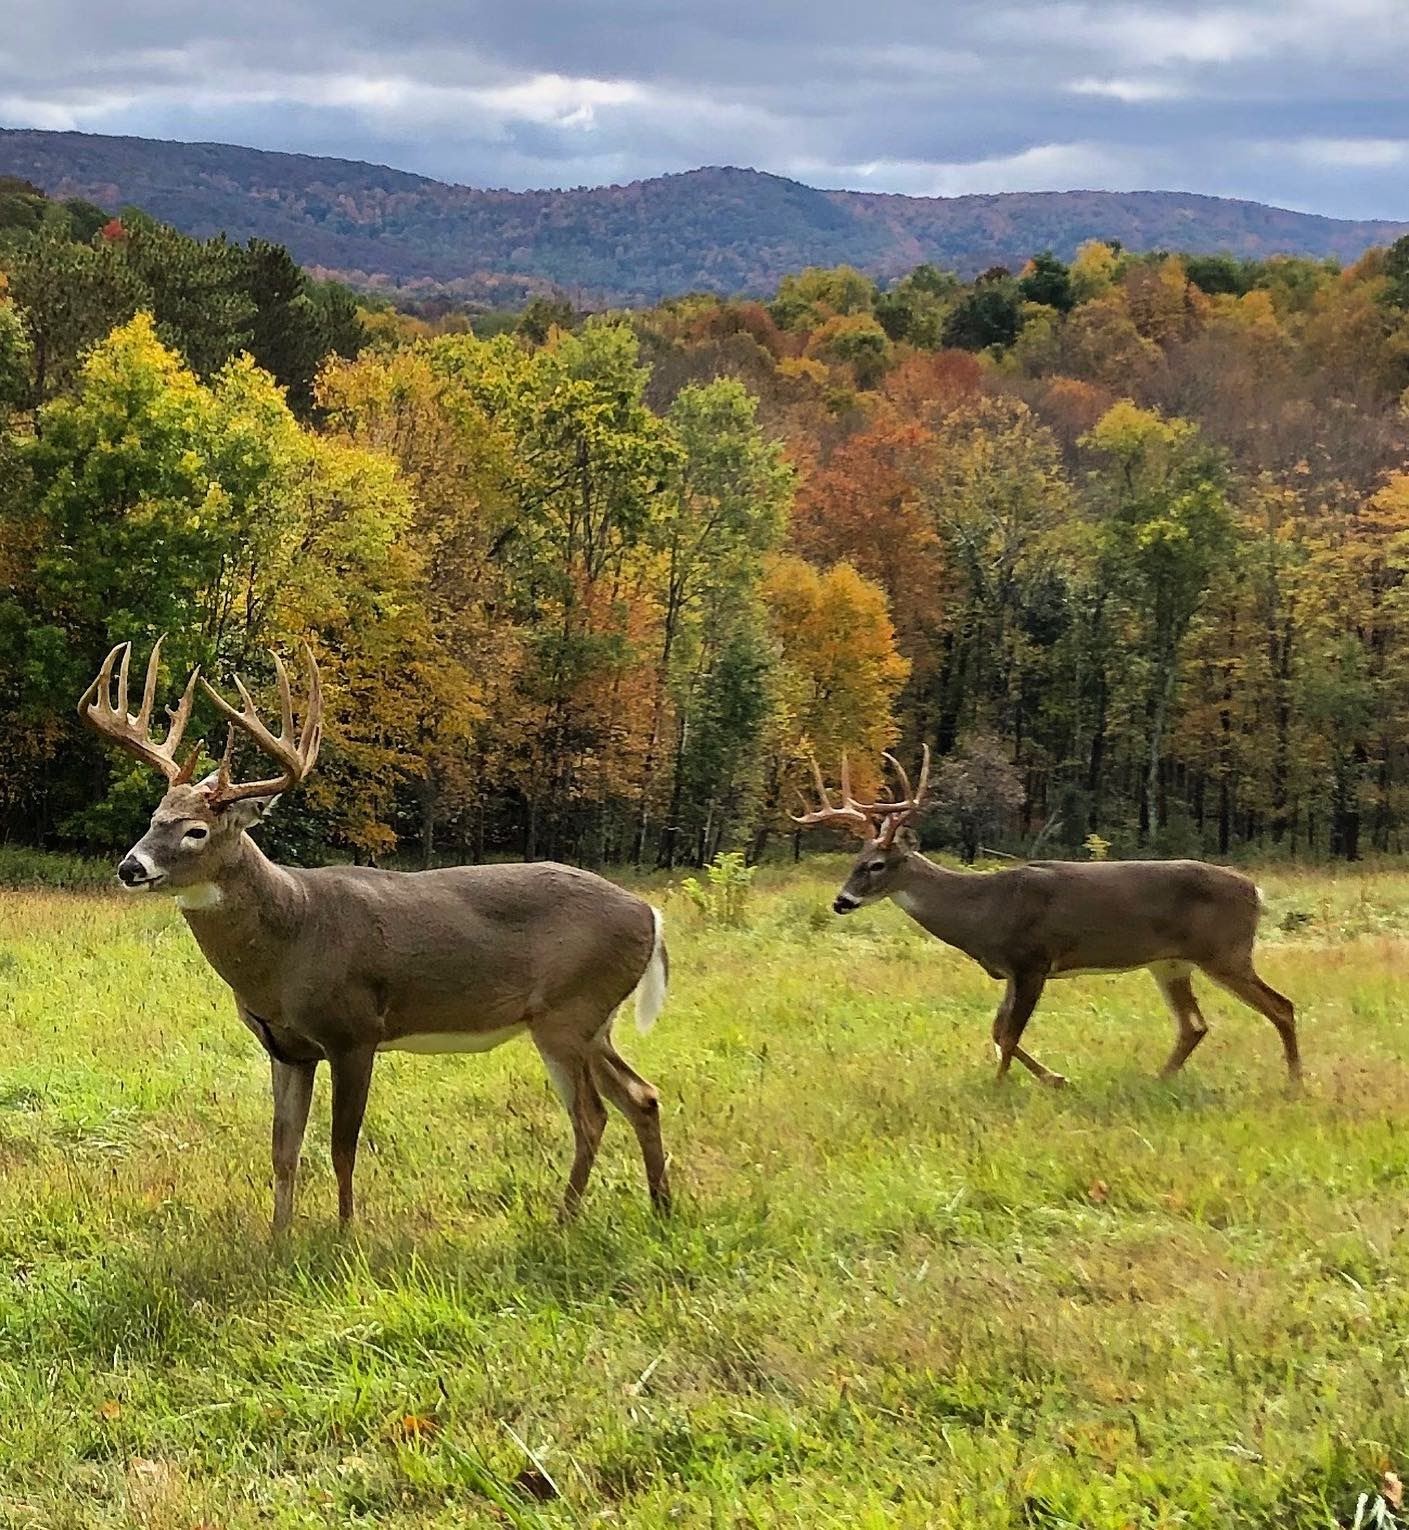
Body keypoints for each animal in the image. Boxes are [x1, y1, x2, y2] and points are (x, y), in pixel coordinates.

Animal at [77, 638, 672, 1234]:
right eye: (154, 817)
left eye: (196, 831)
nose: (130, 867)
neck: (290, 942)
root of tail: (650, 913)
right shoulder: (286, 1048)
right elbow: (283, 1150)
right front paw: (279, 1237)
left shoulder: (354, 1032)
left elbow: (342, 1147)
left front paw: (344, 1234)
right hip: (594, 1021)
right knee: (642, 1095)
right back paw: (660, 1209)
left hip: (568, 1013)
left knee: (593, 1115)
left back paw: (563, 1222)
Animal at [792, 748, 1302, 1090]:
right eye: (855, 859)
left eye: (876, 865)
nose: (841, 902)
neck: (983, 910)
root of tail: (1255, 890)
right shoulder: (1010, 970)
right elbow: (999, 1029)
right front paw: (1053, 1079)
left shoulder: (1034, 960)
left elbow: (1010, 1031)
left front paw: (1005, 1085)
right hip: (1171, 963)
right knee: (1195, 1024)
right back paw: (1159, 1079)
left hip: (1225, 951)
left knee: (1281, 1006)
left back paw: (1295, 1082)